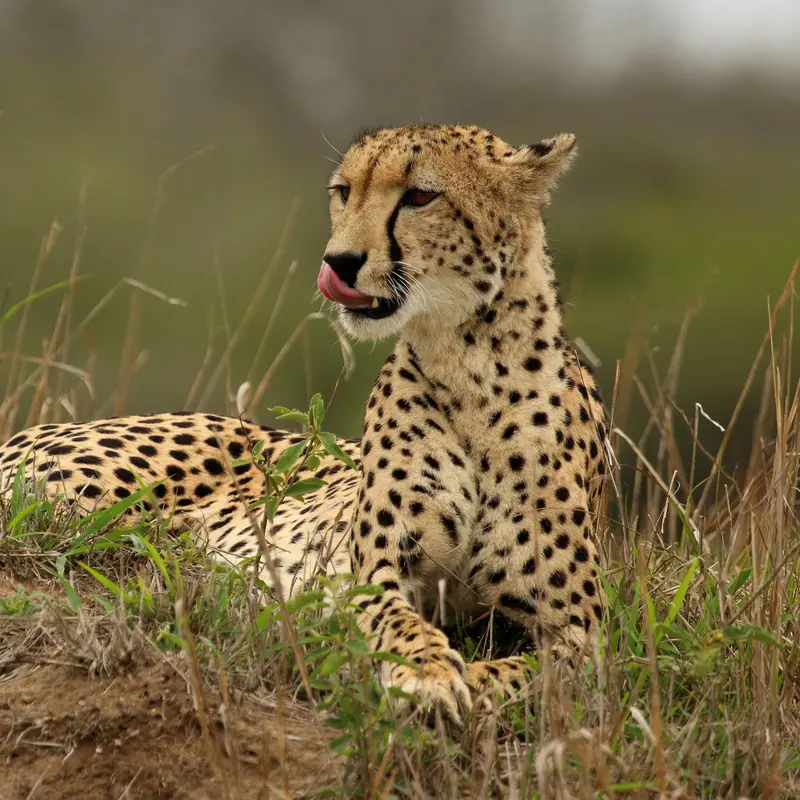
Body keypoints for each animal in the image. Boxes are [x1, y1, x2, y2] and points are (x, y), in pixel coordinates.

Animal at [0, 124, 608, 725]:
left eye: (419, 196)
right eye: (344, 192)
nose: (338, 261)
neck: (473, 365)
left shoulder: (581, 635)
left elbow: (528, 678)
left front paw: (462, 682)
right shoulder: (373, 574)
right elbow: (400, 623)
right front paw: (428, 673)